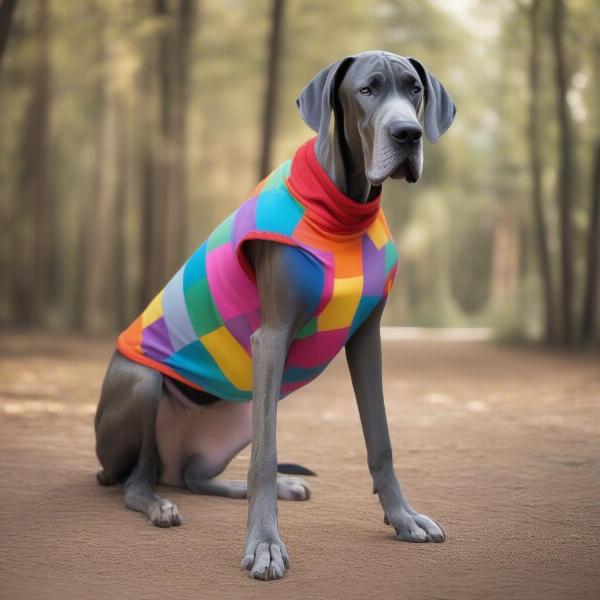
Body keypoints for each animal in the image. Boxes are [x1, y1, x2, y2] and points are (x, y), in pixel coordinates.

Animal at [95, 52, 454, 580]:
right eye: (367, 90)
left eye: (414, 90)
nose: (408, 134)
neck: (344, 210)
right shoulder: (271, 338)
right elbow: (265, 456)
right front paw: (265, 544)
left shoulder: (366, 339)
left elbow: (381, 438)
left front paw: (403, 517)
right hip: (143, 386)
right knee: (135, 483)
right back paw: (159, 505)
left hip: (235, 420)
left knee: (192, 477)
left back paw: (271, 486)